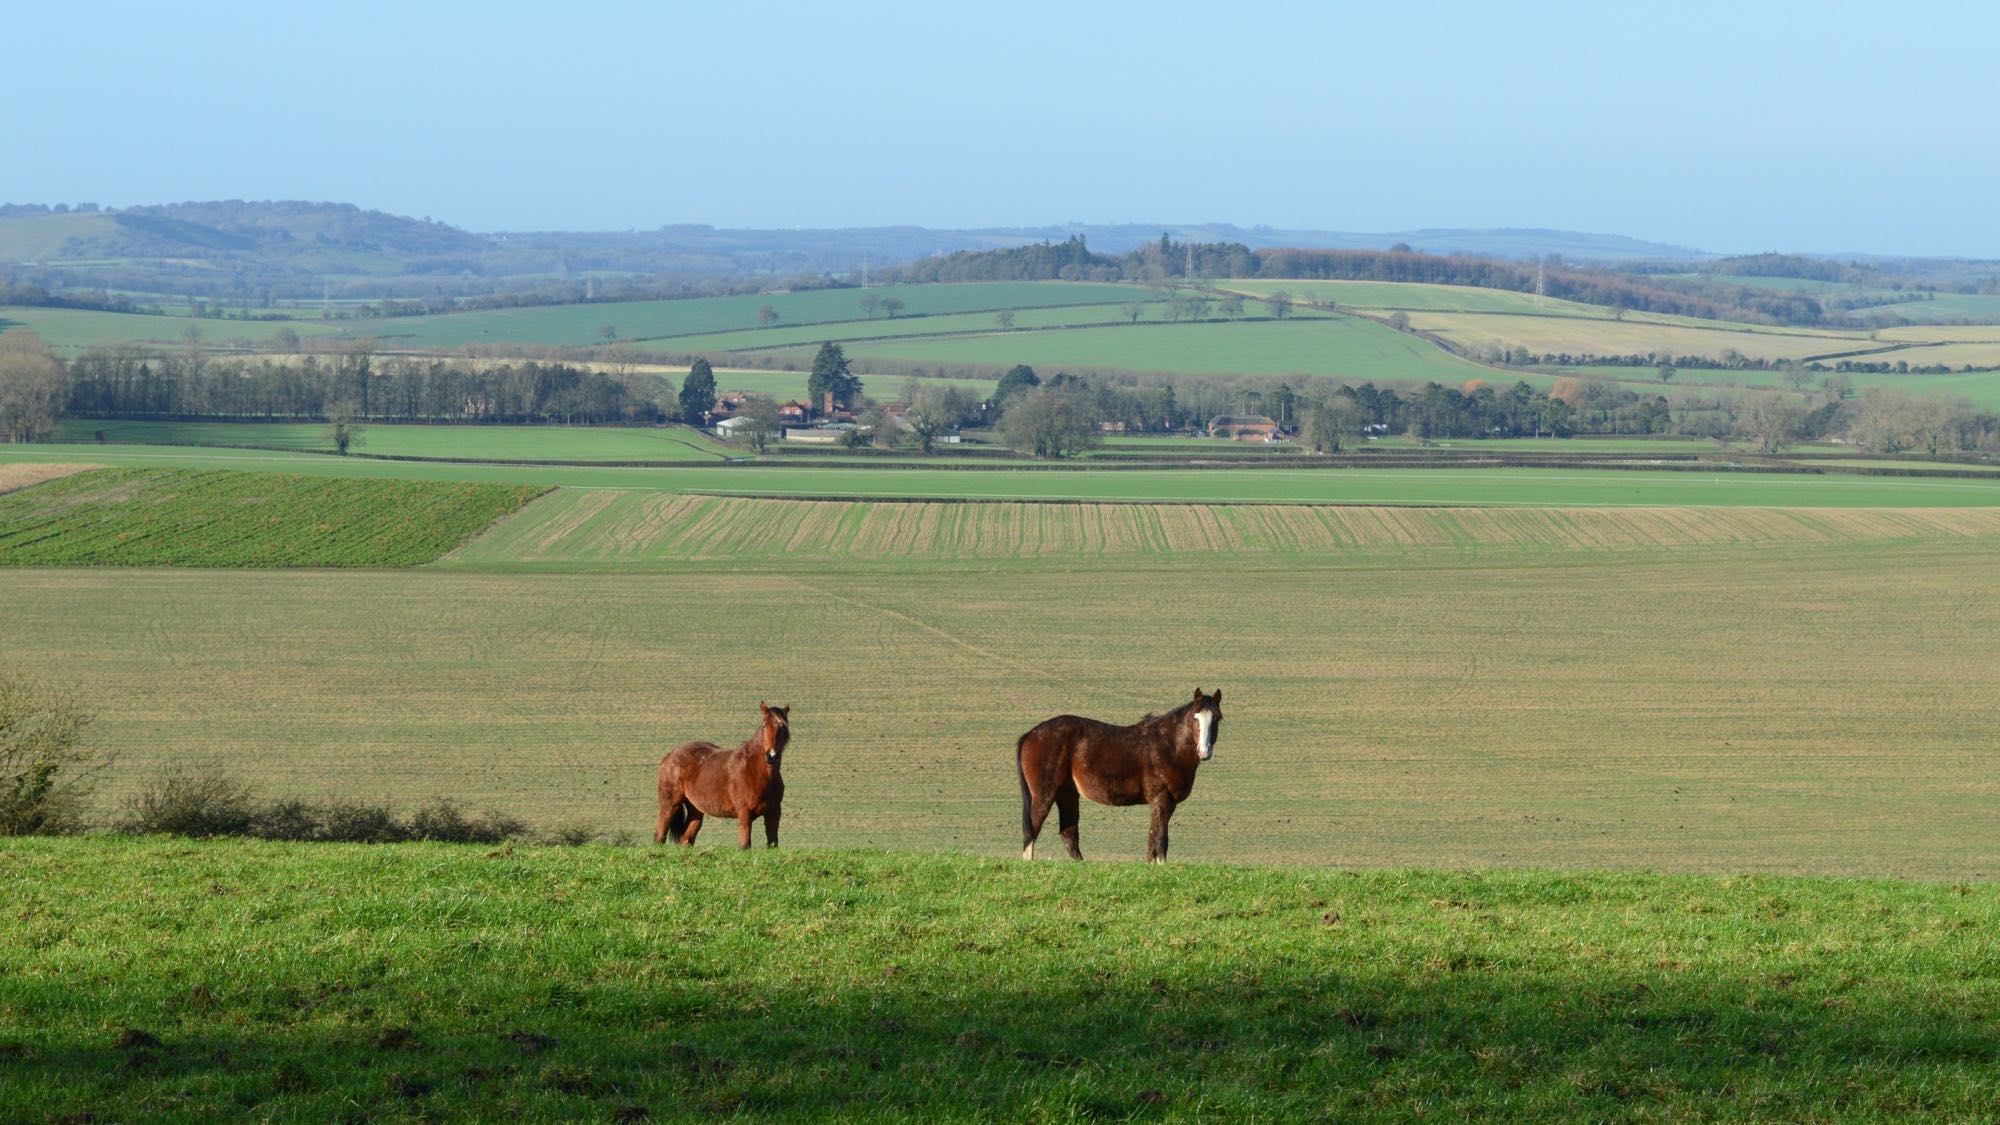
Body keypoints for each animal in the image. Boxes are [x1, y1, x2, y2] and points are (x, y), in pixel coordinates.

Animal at [655, 702, 790, 848]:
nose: (771, 755)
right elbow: (745, 845)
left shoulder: (774, 813)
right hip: (670, 805)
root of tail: (670, 755)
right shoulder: (744, 813)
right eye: (764, 725)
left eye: (782, 726)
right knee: (659, 836)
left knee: (686, 838)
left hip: (695, 809)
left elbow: (773, 844)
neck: (756, 771)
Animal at [1015, 688, 1222, 863]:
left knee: (1068, 834)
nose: (1204, 752)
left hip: (1067, 795)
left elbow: (1153, 841)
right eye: (1196, 718)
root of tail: (1031, 734)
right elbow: (1160, 840)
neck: (1168, 745)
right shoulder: (1161, 800)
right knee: (1031, 832)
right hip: (1044, 795)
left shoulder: (1167, 804)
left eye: (1217, 718)